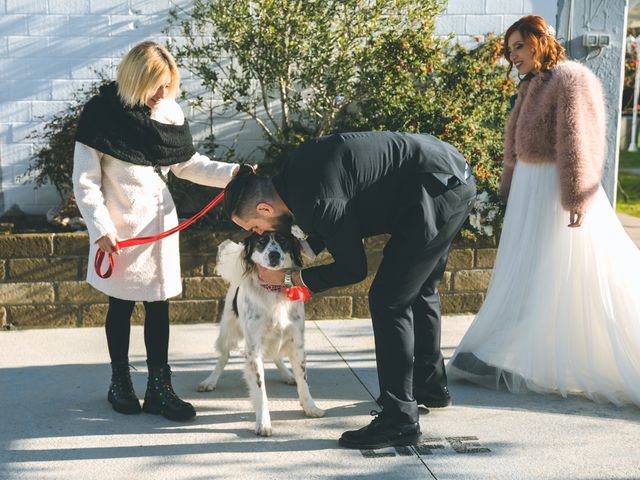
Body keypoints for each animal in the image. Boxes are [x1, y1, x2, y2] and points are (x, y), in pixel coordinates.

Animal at [196, 231, 324, 436]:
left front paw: (310, 407)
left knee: (277, 356)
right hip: (228, 330)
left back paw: (288, 375)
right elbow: (260, 390)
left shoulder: (297, 342)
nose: (274, 255)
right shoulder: (254, 349)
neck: (273, 292)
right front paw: (263, 423)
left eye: (283, 240)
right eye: (262, 241)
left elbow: (303, 380)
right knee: (223, 356)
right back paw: (210, 381)